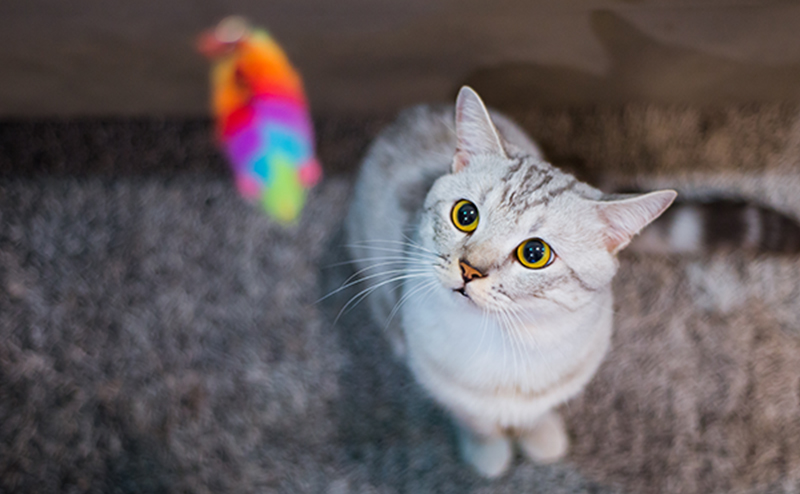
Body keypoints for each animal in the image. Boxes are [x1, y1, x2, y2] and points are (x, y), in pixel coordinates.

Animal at [344, 87, 676, 476]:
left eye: (534, 253)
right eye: (465, 215)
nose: (469, 270)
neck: (504, 337)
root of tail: (412, 112)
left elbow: (537, 413)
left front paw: (543, 439)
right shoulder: (447, 388)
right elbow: (478, 423)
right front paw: (488, 455)